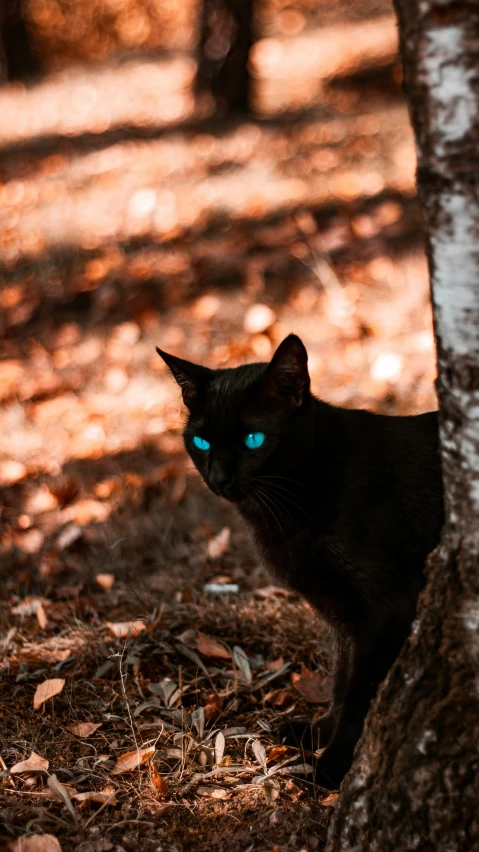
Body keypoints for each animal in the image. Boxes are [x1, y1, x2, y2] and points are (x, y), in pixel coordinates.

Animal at [158, 332, 446, 784]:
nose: (219, 477)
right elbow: (342, 679)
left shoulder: (389, 609)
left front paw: (331, 768)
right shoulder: (341, 615)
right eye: (201, 441)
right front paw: (316, 732)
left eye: (253, 439)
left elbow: (360, 694)